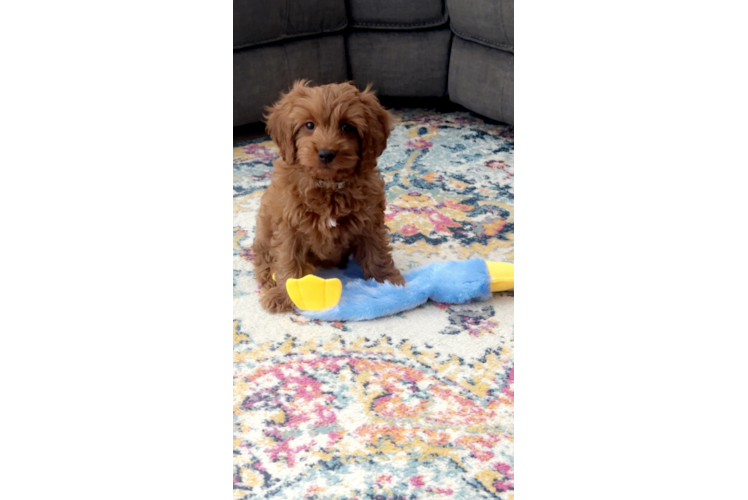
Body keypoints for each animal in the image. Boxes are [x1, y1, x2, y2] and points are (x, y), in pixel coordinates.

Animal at [253, 81, 406, 312]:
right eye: (309, 125)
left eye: (347, 127)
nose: (326, 153)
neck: (329, 185)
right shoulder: (289, 225)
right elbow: (288, 259)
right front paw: (284, 294)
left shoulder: (370, 220)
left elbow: (376, 251)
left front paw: (388, 281)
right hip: (264, 230)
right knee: (261, 255)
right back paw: (268, 277)